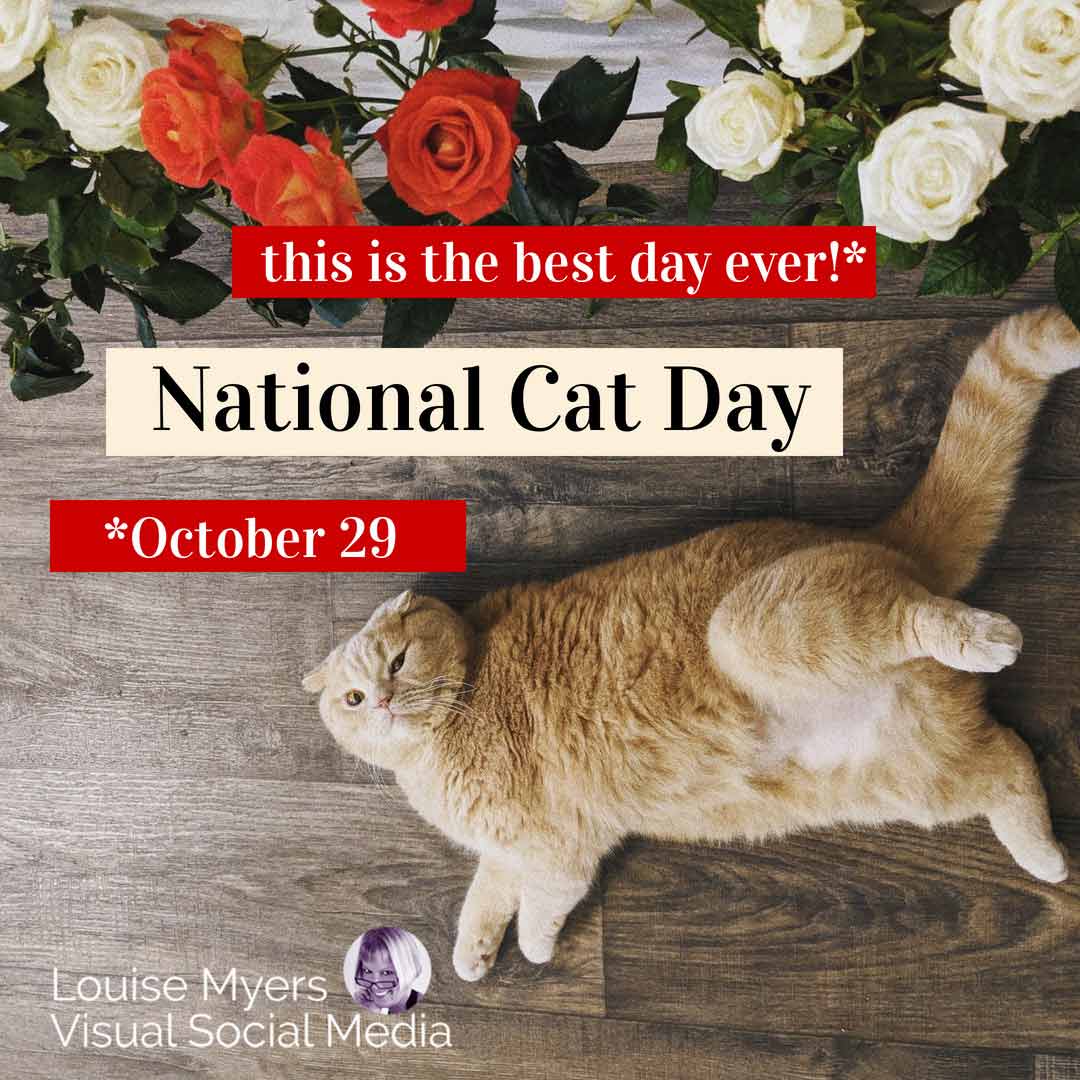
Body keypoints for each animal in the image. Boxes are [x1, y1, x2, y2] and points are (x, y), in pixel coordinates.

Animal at [304, 304, 1080, 980]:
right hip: (915, 779)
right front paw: (472, 954)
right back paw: (1047, 857)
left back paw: (983, 638)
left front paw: (533, 948)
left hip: (755, 626)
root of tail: (877, 540)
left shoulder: (557, 851)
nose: (381, 702)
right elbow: (487, 894)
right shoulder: (522, 846)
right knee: (1011, 760)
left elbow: (541, 901)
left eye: (398, 662)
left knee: (916, 619)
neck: (441, 739)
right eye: (352, 697)